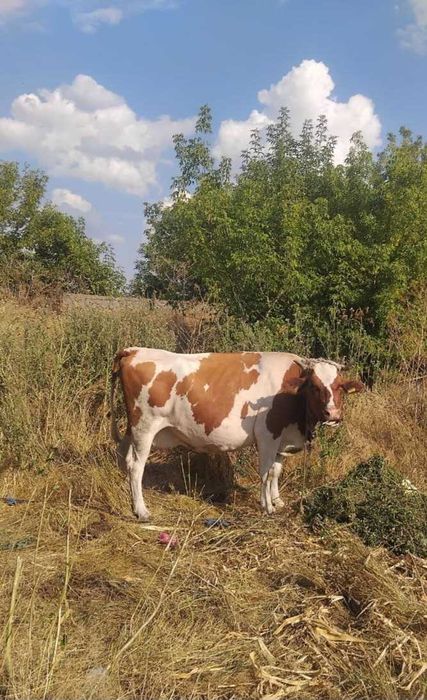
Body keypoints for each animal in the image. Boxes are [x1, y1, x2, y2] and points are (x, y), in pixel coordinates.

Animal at [110, 348, 364, 521]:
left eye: (340, 386)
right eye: (314, 386)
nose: (333, 414)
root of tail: (134, 350)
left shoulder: (281, 439)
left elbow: (276, 471)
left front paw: (278, 500)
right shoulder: (267, 435)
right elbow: (265, 473)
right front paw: (267, 506)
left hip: (132, 431)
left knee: (125, 459)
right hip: (145, 427)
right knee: (136, 466)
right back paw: (141, 510)